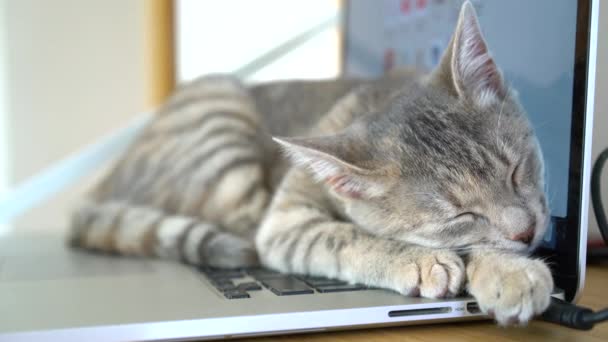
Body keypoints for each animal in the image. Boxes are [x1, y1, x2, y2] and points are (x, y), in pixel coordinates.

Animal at [69, 2, 552, 328]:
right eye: (460, 214)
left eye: (516, 170)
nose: (527, 231)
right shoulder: (284, 224)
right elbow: (346, 237)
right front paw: (428, 258)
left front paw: (508, 269)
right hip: (223, 132)